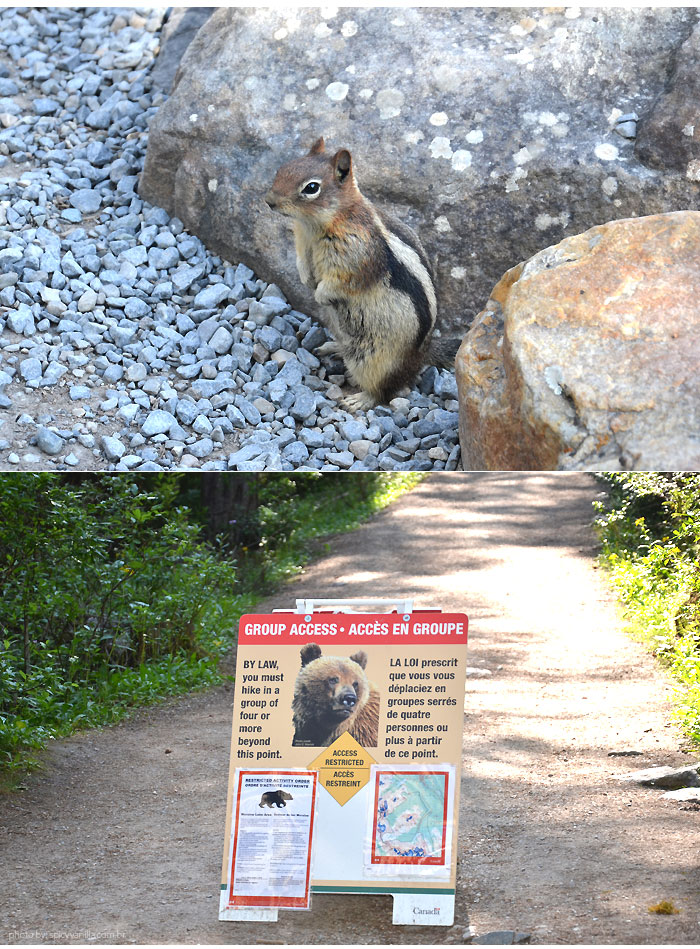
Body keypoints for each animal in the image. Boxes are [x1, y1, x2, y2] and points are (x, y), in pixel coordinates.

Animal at [264, 137, 460, 412]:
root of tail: (422, 354)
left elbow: (341, 282)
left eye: (311, 188)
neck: (315, 225)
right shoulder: (301, 242)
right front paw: (306, 279)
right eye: (283, 168)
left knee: (385, 391)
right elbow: (301, 262)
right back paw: (333, 347)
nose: (269, 201)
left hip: (377, 360)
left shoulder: (356, 260)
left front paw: (321, 294)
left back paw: (360, 399)